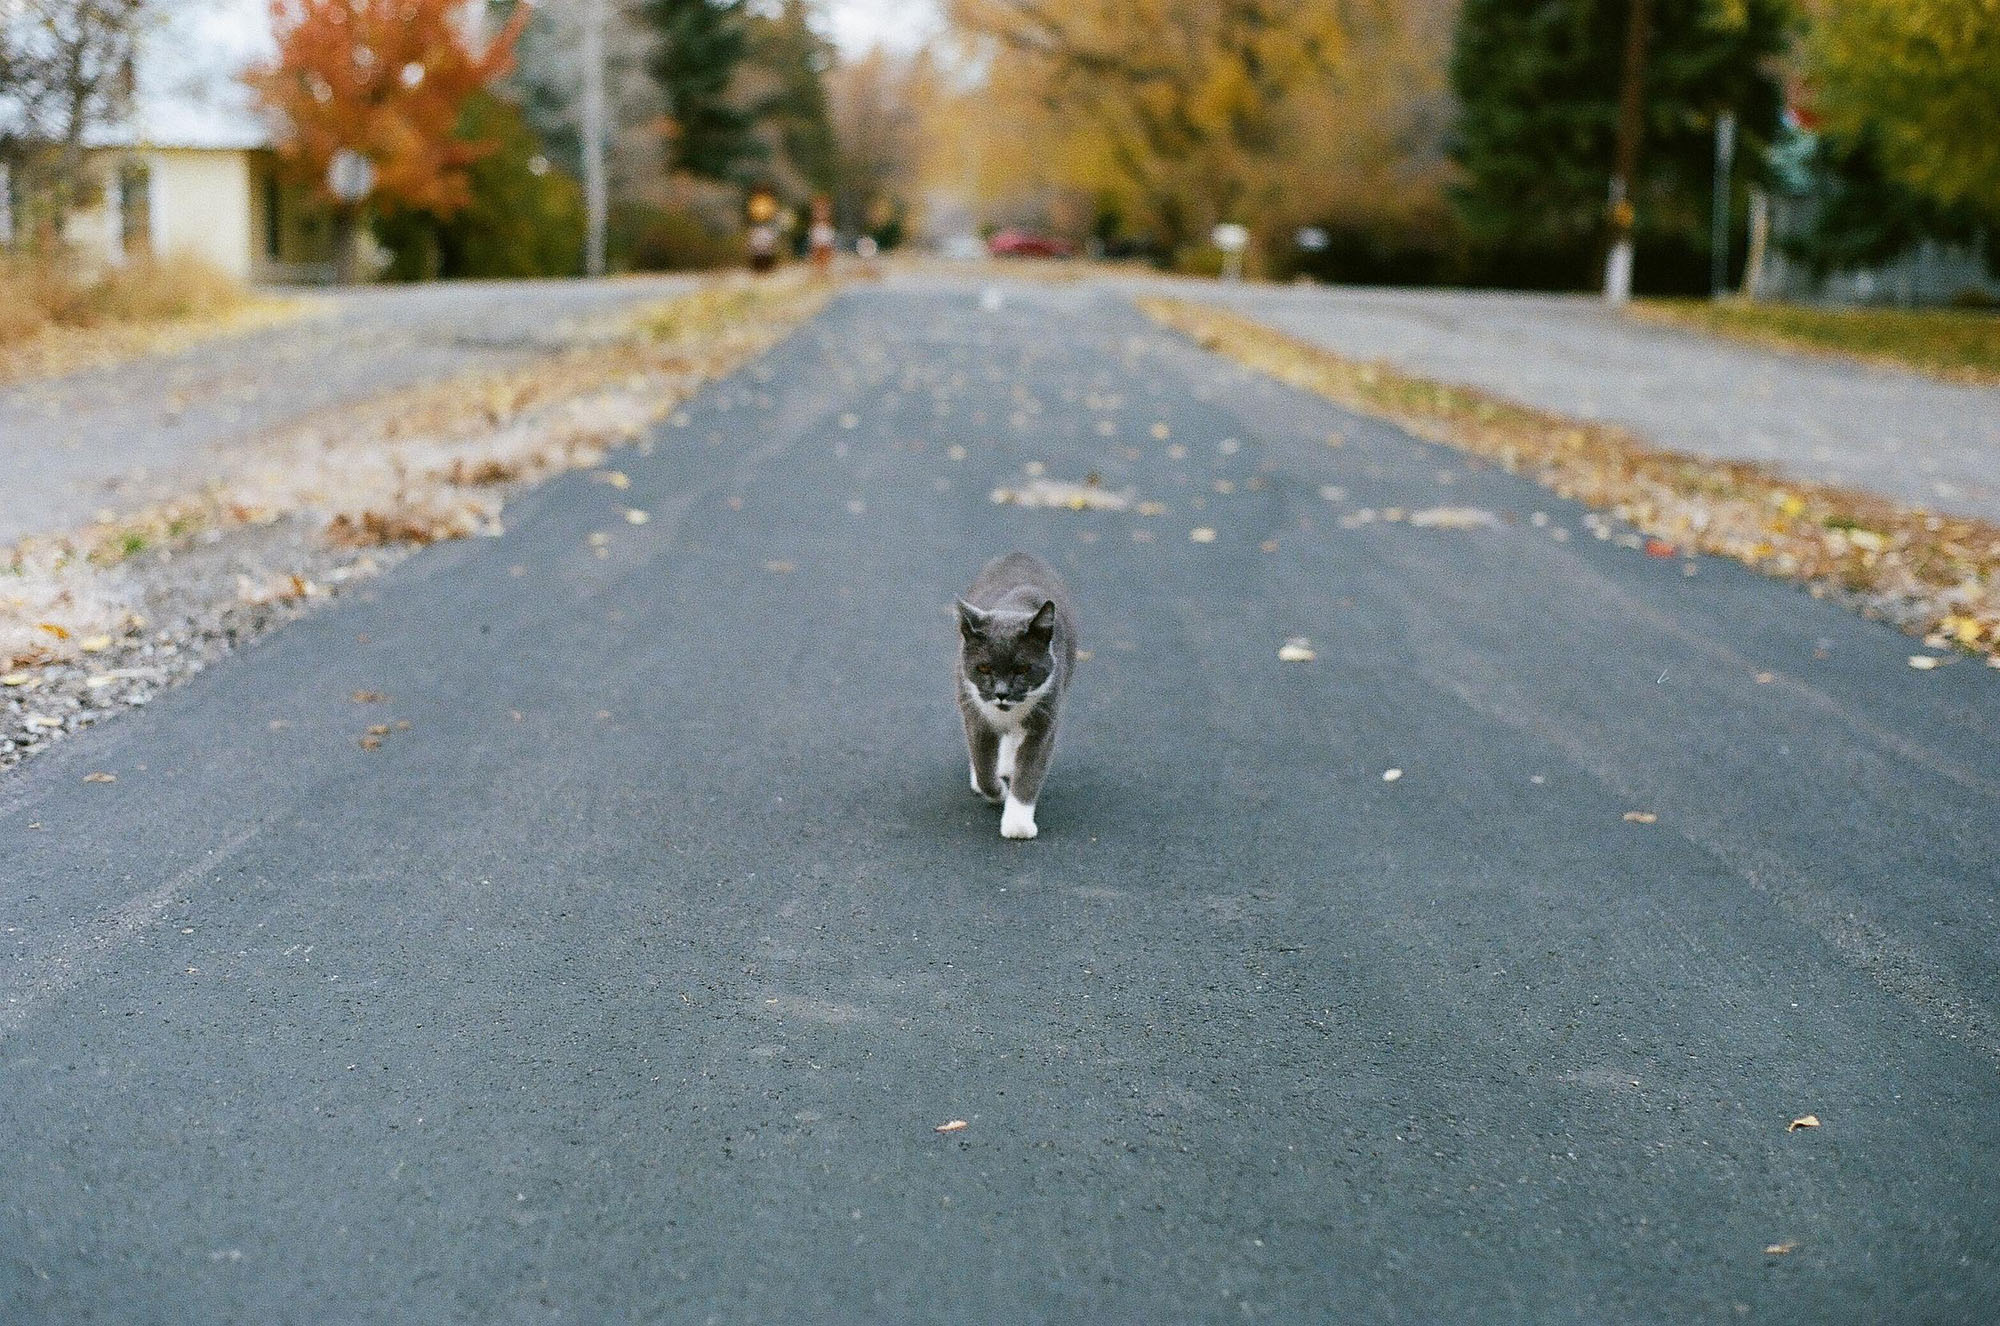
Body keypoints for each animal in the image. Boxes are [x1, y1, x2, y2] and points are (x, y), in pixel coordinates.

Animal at [952, 548, 1080, 840]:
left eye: (1022, 669)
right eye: (984, 667)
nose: (1001, 693)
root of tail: (1019, 554)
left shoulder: (1046, 717)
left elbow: (1030, 770)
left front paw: (1018, 826)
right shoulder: (974, 712)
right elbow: (983, 764)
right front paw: (997, 791)